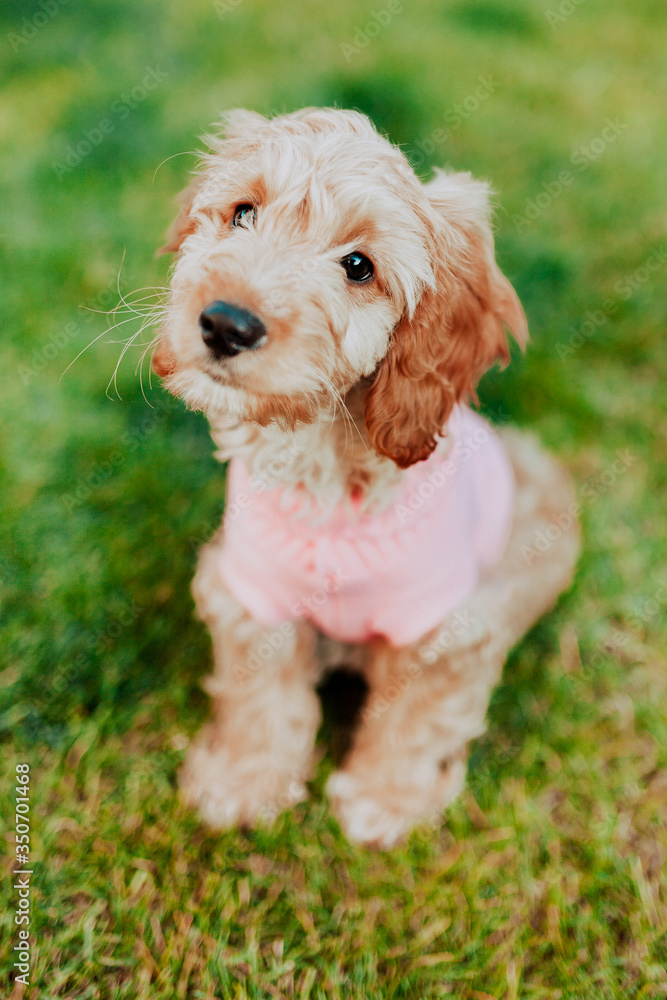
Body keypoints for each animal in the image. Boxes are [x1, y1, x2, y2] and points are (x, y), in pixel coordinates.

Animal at [151, 107, 580, 844]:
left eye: (359, 267)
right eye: (242, 213)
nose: (226, 324)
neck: (325, 465)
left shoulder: (444, 627)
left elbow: (414, 717)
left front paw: (383, 801)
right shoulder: (252, 592)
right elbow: (257, 693)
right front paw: (242, 783)